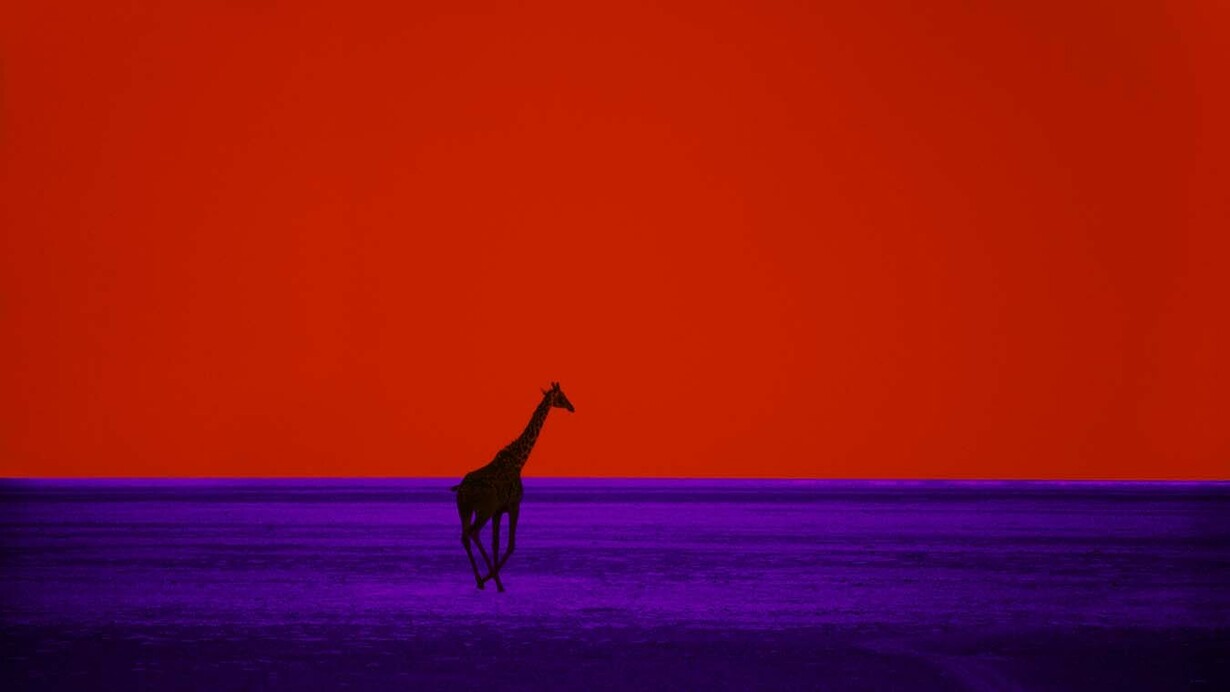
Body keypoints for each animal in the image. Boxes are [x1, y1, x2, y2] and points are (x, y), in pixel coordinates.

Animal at [451, 382, 574, 592]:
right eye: (562, 396)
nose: (572, 407)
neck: (519, 461)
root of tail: (462, 490)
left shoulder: (498, 511)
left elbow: (496, 543)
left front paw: (493, 577)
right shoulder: (514, 505)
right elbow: (510, 545)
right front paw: (495, 580)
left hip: (465, 509)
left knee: (465, 536)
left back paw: (480, 580)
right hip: (483, 509)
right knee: (473, 533)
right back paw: (486, 581)